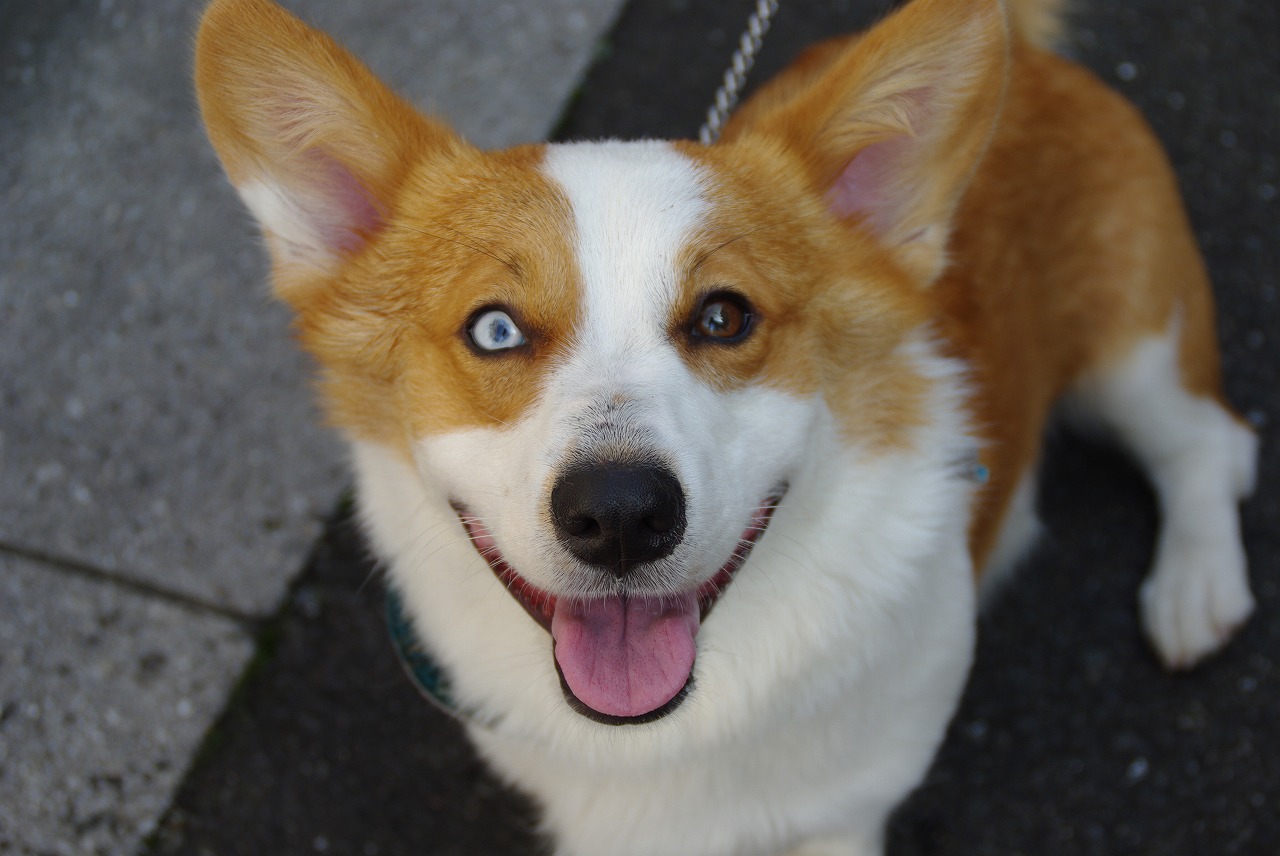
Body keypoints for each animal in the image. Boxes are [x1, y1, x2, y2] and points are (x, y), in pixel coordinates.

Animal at [194, 0, 1254, 849]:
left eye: (724, 317)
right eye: (494, 330)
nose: (620, 515)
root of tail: (1027, 56)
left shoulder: (843, 816)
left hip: (1135, 348)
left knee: (1208, 443)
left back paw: (1194, 587)